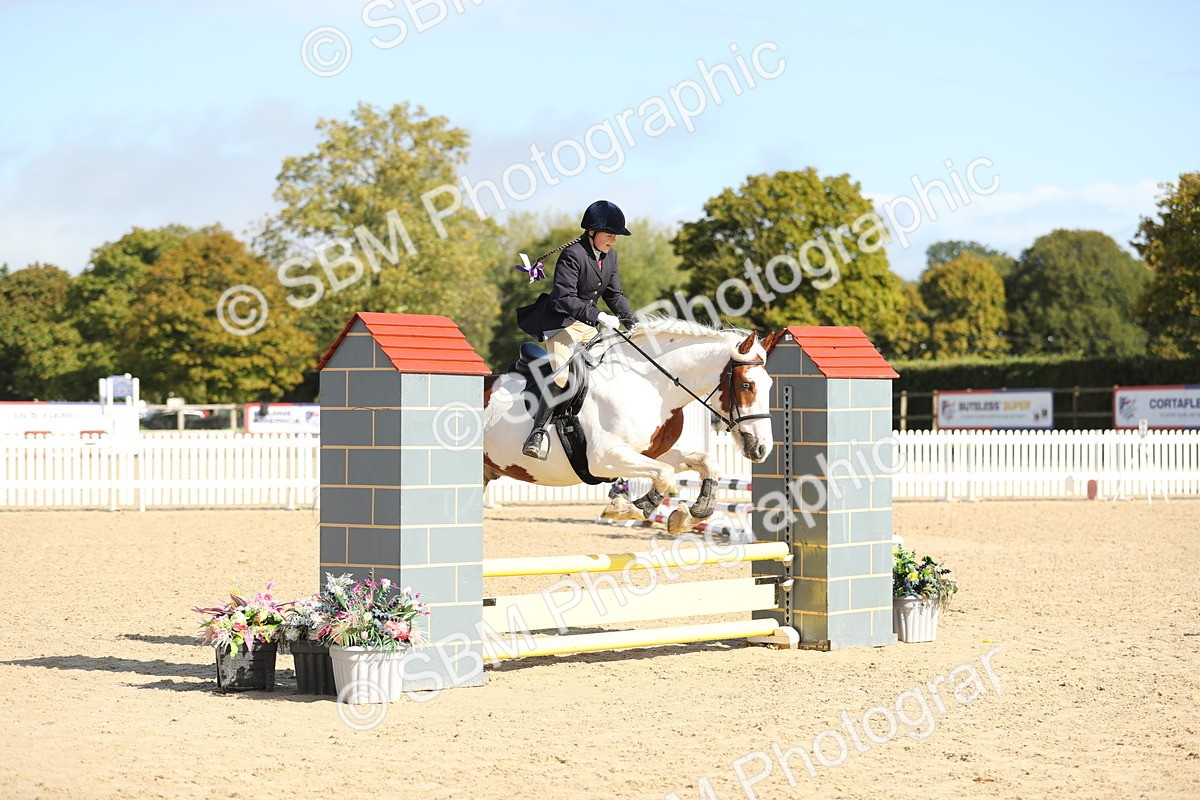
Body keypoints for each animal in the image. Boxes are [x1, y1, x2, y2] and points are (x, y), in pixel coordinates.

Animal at [481, 318, 774, 534]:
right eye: (747, 384)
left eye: (770, 384)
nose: (762, 449)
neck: (649, 384)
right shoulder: (604, 458)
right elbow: (665, 474)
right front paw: (626, 509)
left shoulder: (650, 453)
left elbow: (704, 462)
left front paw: (690, 515)